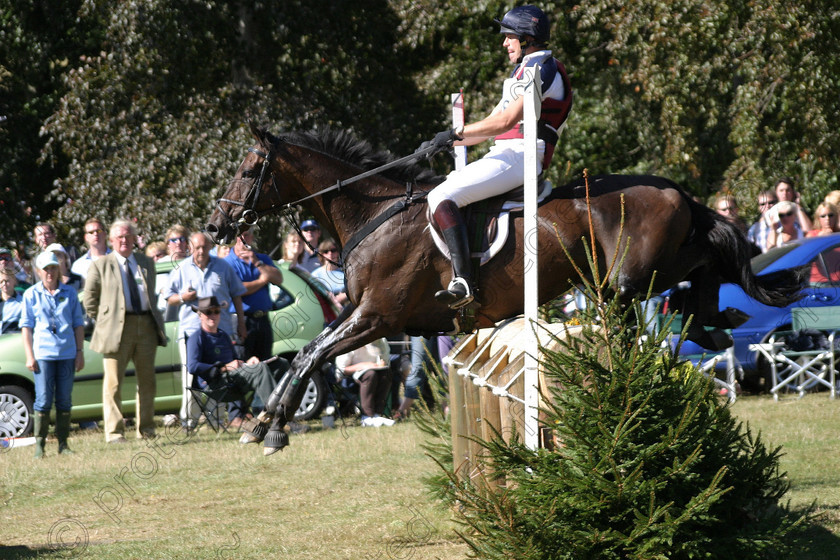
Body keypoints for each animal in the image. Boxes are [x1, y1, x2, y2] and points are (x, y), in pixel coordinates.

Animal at [207, 123, 804, 456]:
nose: (215, 227)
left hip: (627, 280)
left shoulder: (378, 318)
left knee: (700, 264)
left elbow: (310, 357)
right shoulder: (358, 313)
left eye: (250, 170)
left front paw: (273, 430)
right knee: (707, 257)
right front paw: (262, 422)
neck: (374, 213)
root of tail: (673, 188)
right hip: (638, 274)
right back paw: (712, 323)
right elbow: (307, 352)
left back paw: (707, 321)